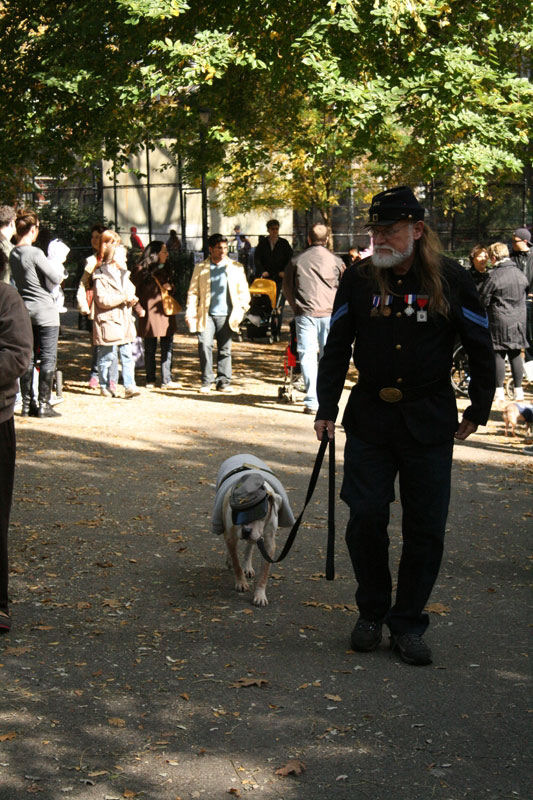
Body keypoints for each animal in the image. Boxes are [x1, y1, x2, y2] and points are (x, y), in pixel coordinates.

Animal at [211, 456, 296, 608]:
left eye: (259, 512)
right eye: (238, 513)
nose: (246, 530)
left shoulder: (269, 543)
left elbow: (264, 572)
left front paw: (260, 595)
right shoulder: (231, 535)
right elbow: (236, 562)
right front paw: (241, 582)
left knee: (249, 546)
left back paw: (248, 566)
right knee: (231, 548)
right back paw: (230, 560)